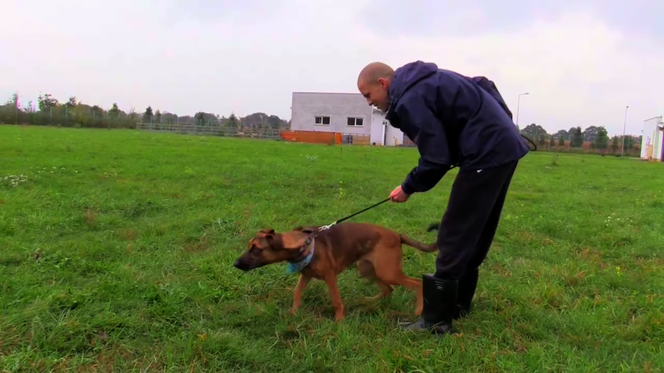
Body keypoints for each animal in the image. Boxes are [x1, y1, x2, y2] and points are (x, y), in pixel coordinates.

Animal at [231, 221, 438, 320]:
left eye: (256, 249)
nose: (235, 264)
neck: (303, 244)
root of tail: (397, 235)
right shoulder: (305, 276)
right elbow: (297, 293)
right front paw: (293, 313)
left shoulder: (330, 277)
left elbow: (336, 301)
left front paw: (339, 321)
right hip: (368, 269)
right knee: (388, 289)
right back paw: (368, 302)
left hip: (387, 271)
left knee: (417, 283)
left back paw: (418, 310)